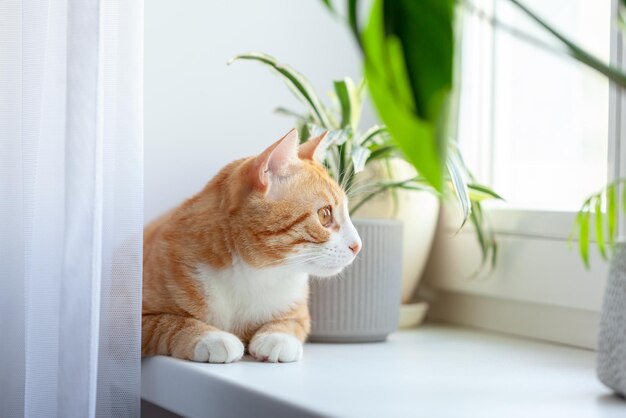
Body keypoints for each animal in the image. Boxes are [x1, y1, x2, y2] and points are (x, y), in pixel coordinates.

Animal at [140, 128, 358, 362]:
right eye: (325, 215)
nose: (358, 246)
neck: (252, 273)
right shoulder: (135, 318)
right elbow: (170, 323)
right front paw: (212, 338)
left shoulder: (299, 313)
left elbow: (291, 324)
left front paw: (277, 337)